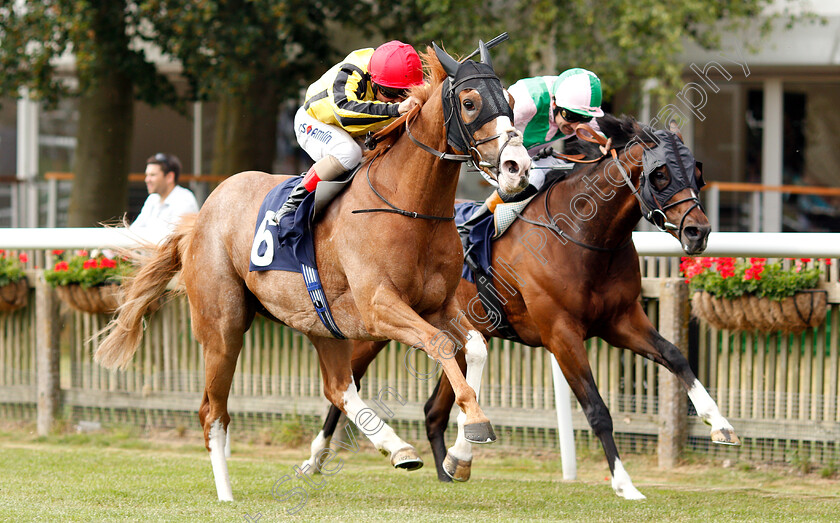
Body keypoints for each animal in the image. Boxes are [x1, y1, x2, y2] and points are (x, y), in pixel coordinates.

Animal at [95, 43, 528, 502]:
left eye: (510, 101)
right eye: (469, 102)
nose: (517, 166)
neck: (410, 208)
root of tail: (201, 217)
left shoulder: (439, 305)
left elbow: (475, 347)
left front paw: (460, 455)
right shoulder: (380, 306)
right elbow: (440, 345)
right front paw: (475, 425)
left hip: (322, 323)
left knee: (338, 388)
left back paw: (394, 447)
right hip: (223, 326)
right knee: (213, 410)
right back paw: (226, 492)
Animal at [306, 114, 740, 500]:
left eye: (697, 173)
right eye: (661, 174)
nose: (698, 232)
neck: (584, 235)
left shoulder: (621, 320)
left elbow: (675, 356)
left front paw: (719, 424)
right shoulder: (561, 334)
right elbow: (597, 409)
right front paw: (624, 484)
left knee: (432, 410)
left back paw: (449, 466)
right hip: (377, 325)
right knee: (346, 385)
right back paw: (318, 458)